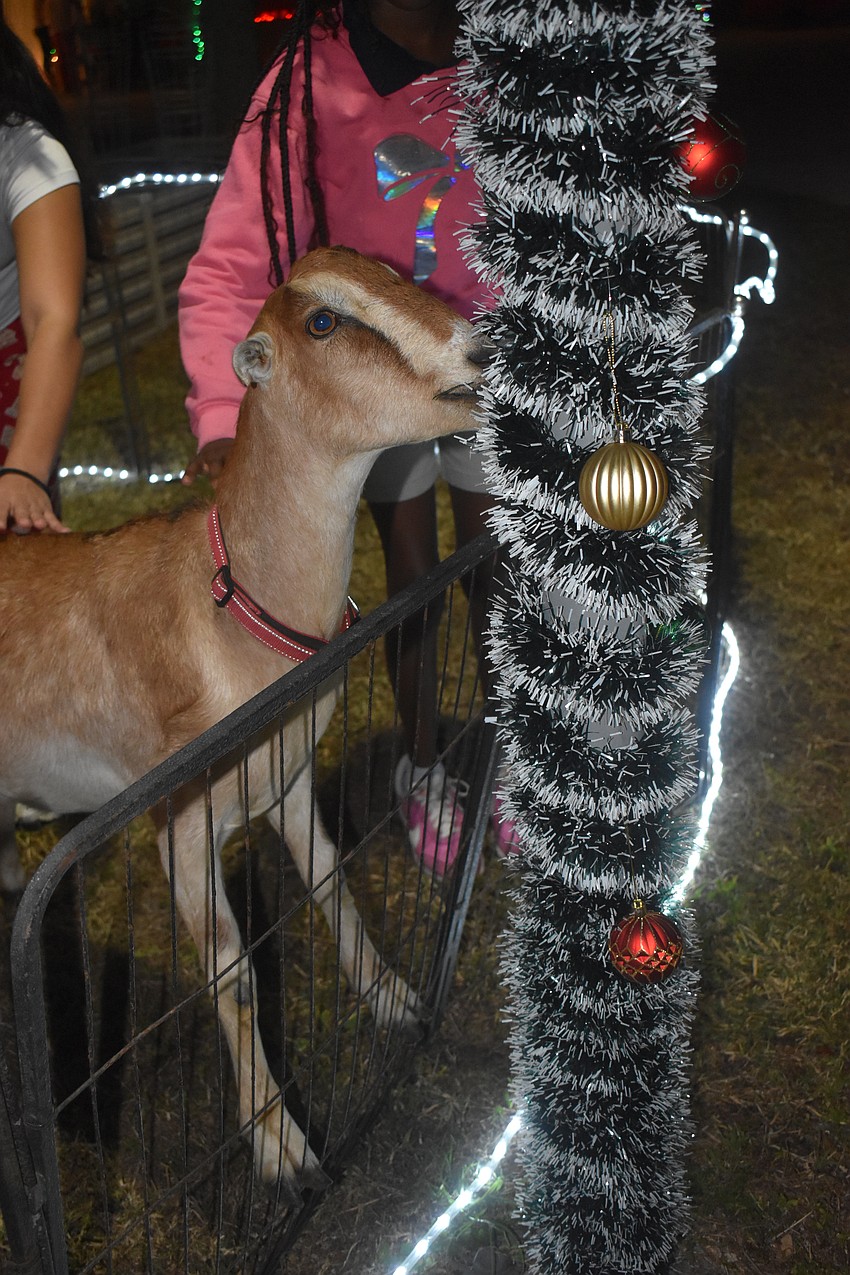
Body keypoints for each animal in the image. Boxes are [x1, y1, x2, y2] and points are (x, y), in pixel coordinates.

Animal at [0, 245, 487, 1190]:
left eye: (384, 269)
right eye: (323, 322)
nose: (482, 349)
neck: (236, 609)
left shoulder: (286, 778)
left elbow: (334, 883)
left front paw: (393, 997)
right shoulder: (180, 823)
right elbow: (233, 970)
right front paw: (280, 1144)